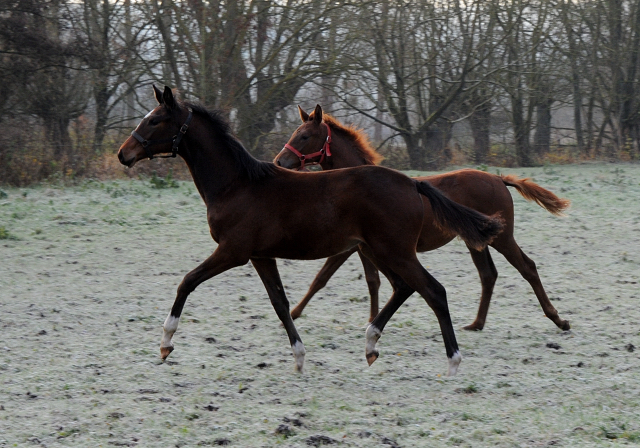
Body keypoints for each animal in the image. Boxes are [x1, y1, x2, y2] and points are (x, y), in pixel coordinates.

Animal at [116, 86, 504, 374]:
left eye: (155, 120)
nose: (123, 154)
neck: (237, 185)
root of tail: (412, 183)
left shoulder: (232, 251)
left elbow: (187, 282)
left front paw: (166, 343)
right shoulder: (260, 256)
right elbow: (280, 303)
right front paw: (300, 358)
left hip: (393, 251)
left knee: (434, 291)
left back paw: (452, 361)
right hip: (378, 250)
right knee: (404, 287)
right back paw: (370, 345)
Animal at [272, 104, 572, 328]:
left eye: (304, 136)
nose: (279, 161)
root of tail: (499, 179)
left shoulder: (350, 246)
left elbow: (323, 277)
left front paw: (294, 313)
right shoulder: (362, 246)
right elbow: (371, 280)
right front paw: (371, 319)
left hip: (502, 238)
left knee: (527, 267)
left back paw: (557, 319)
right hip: (476, 240)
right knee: (488, 275)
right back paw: (476, 323)